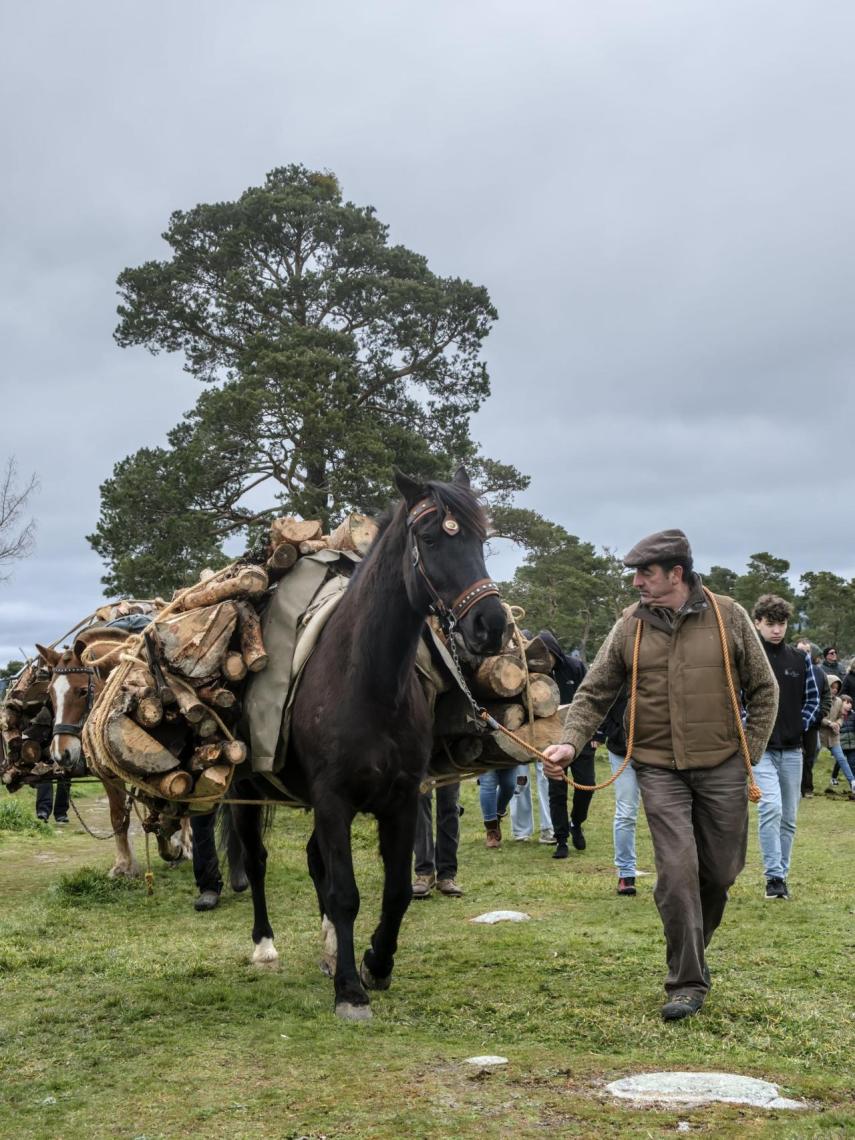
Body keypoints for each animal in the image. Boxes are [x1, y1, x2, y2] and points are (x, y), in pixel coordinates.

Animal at [229, 467, 508, 1021]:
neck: (366, 680)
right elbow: (345, 894)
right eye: (431, 538)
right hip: (245, 793)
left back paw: (328, 949)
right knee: (257, 859)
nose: (491, 625)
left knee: (314, 860)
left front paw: (374, 962)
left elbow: (395, 891)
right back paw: (265, 946)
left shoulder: (400, 800)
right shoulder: (334, 800)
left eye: (480, 539)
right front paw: (350, 991)